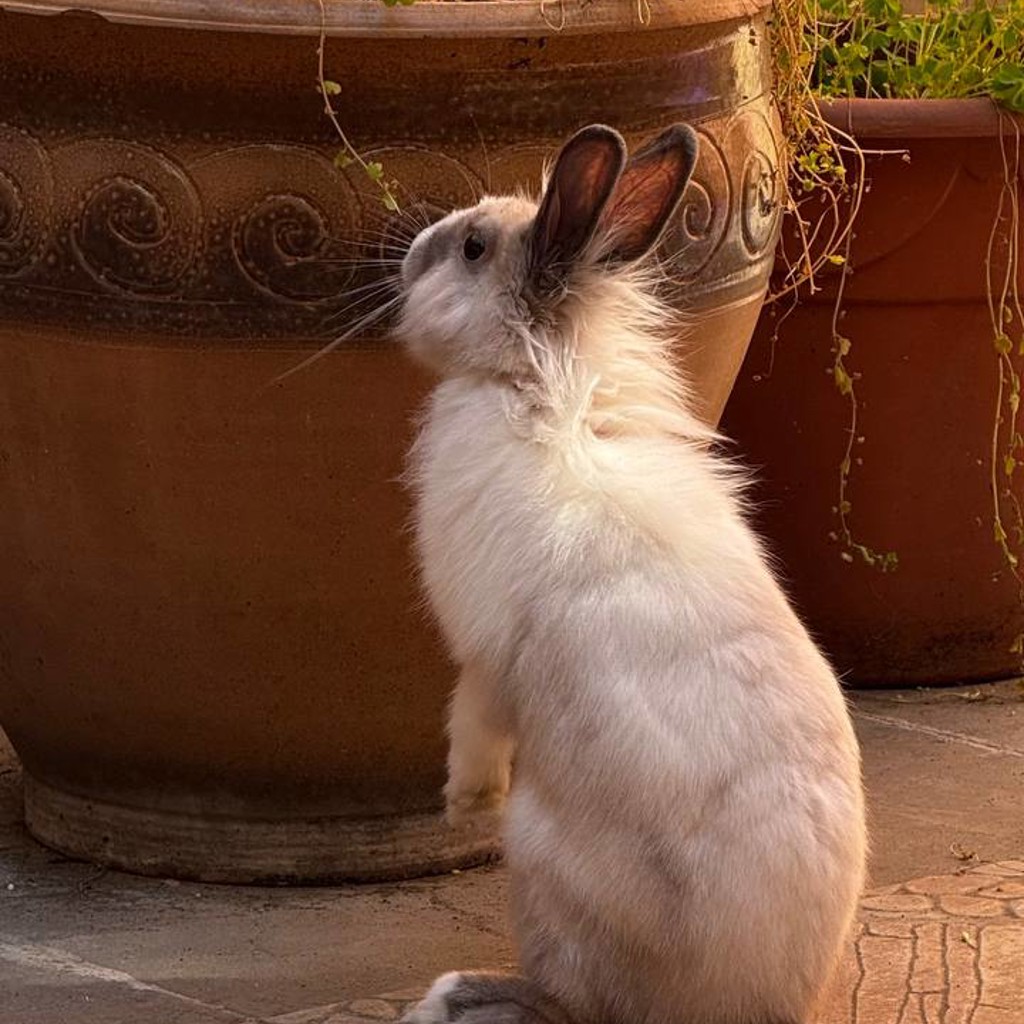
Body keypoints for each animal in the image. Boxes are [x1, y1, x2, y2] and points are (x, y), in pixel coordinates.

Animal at [394, 124, 866, 1024]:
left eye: (472, 248)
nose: (409, 256)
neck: (541, 388)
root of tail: (740, 1005)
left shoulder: (484, 655)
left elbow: (471, 720)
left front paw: (462, 802)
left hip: (540, 865)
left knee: (573, 1004)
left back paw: (452, 994)